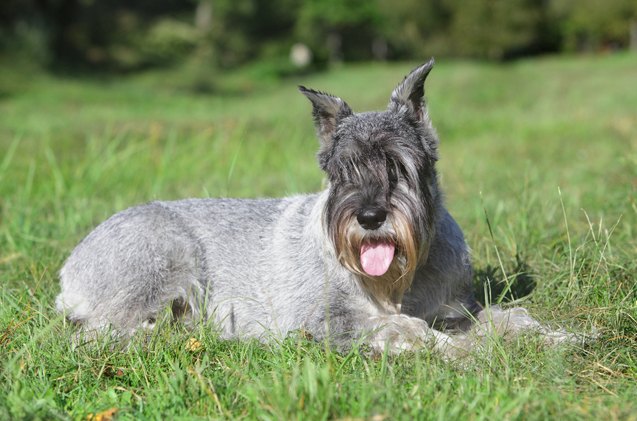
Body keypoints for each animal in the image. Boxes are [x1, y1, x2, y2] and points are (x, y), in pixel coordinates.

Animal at [56, 59, 576, 354]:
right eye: (341, 172)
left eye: (399, 165)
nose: (370, 217)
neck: (402, 281)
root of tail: (70, 265)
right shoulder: (326, 321)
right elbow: (407, 330)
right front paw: (469, 354)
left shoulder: (454, 306)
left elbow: (505, 318)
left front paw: (556, 338)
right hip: (166, 261)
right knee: (97, 334)